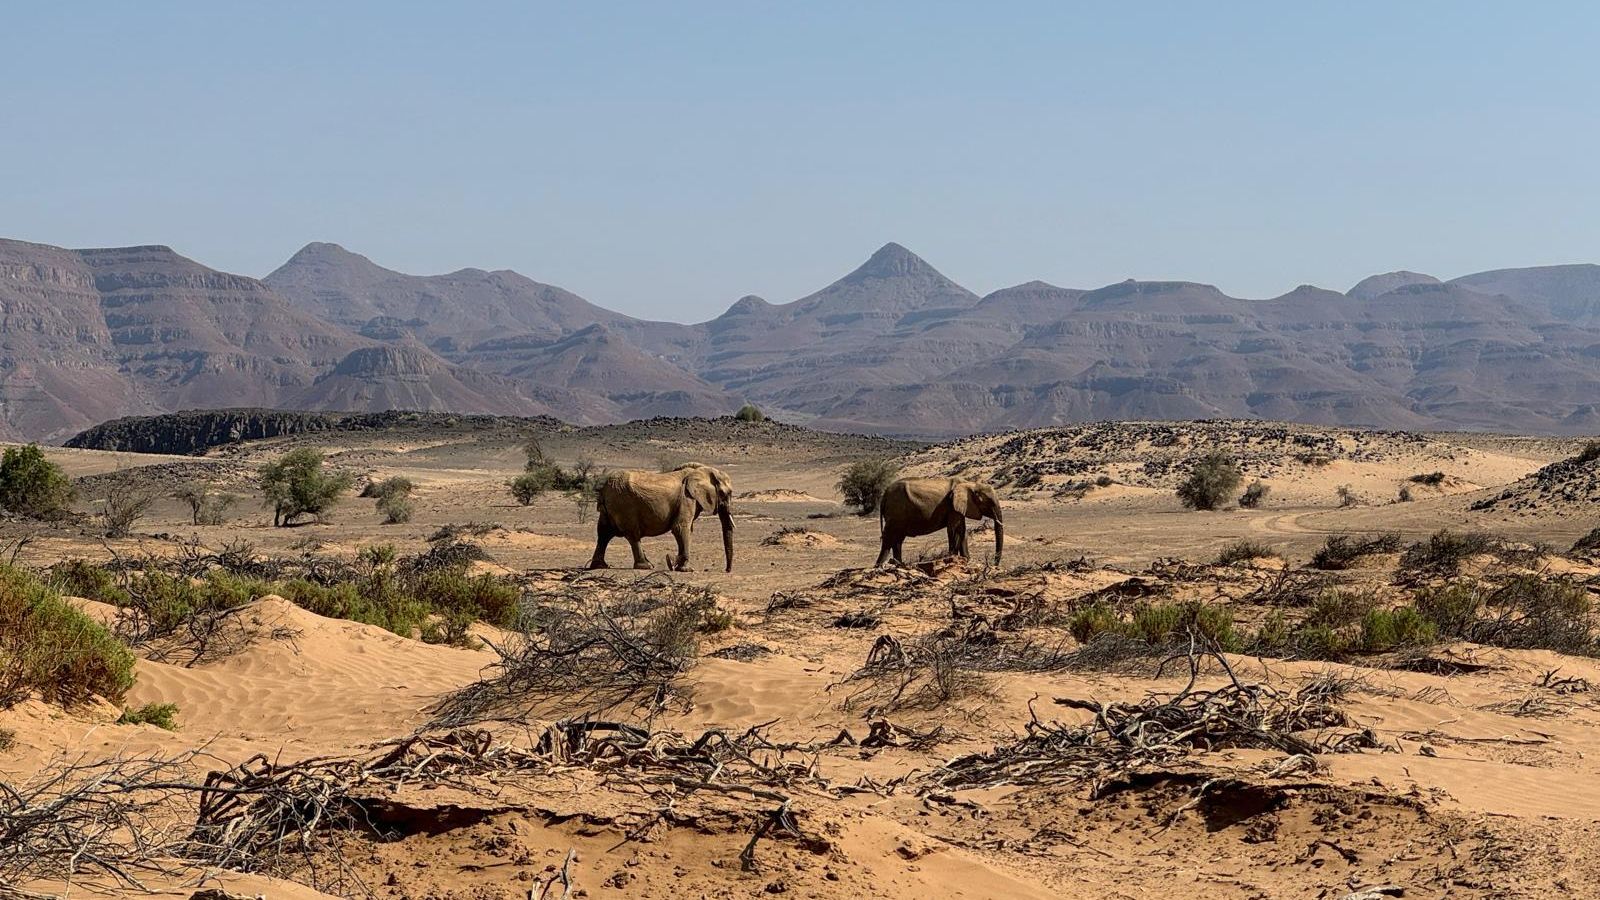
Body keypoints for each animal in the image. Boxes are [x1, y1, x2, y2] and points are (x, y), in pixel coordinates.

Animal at [588, 462, 735, 572]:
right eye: (725, 493)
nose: (727, 570)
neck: (701, 470)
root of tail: (604, 488)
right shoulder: (686, 498)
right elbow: (680, 528)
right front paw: (683, 568)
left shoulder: (688, 500)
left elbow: (687, 530)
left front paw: (674, 563)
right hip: (624, 504)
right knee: (632, 535)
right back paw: (646, 566)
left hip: (610, 508)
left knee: (604, 534)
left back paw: (600, 566)